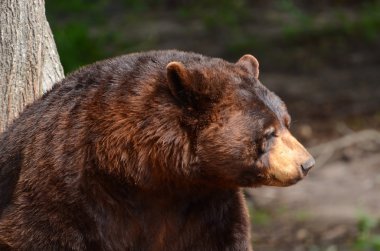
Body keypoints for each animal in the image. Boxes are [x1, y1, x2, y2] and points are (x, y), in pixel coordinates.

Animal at [0, 50, 314, 250]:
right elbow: (41, 232)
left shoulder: (206, 203)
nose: (307, 163)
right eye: (268, 133)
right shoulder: (69, 185)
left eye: (287, 122)